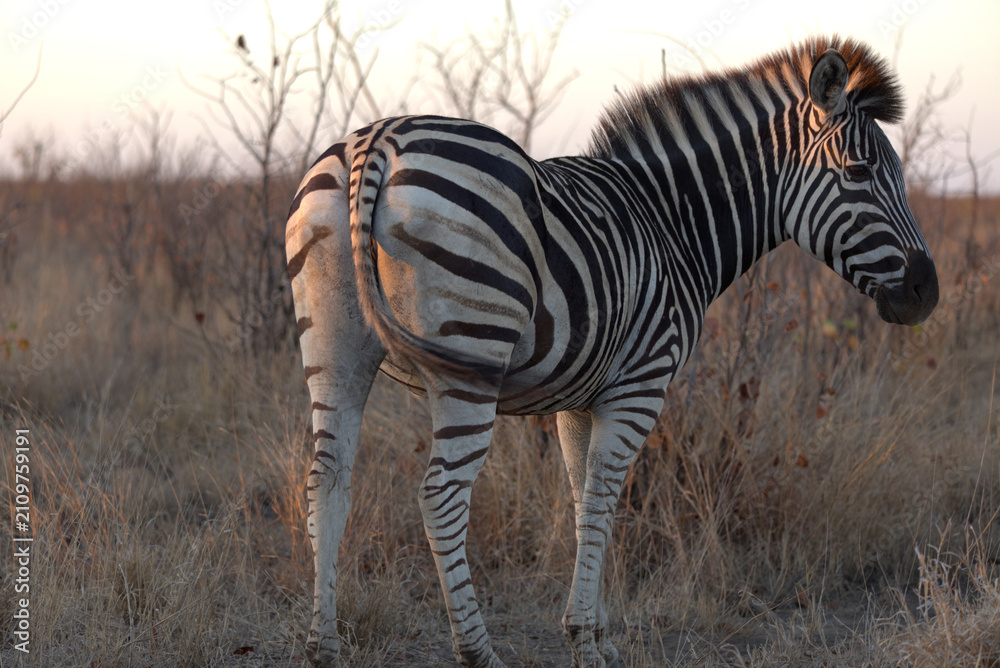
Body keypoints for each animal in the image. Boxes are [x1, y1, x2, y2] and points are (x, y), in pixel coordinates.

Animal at [285, 35, 937, 668]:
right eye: (859, 171)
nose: (926, 292)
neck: (674, 223)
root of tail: (377, 140)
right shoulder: (640, 385)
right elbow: (603, 498)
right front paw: (583, 638)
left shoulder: (579, 396)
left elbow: (582, 500)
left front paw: (596, 634)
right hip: (470, 358)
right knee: (441, 495)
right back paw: (477, 651)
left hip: (332, 346)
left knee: (326, 483)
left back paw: (324, 647)